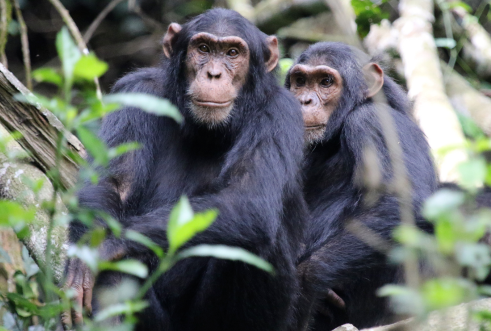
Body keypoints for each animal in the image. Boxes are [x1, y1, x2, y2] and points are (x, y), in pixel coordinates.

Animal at [64, 8, 308, 331]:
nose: (214, 74)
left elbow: (249, 197)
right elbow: (113, 182)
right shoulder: (136, 91)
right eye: (203, 48)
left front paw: (104, 249)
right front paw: (86, 259)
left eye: (233, 52)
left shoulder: (280, 112)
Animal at [286, 42, 440, 330]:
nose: (304, 100)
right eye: (300, 81)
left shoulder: (374, 122)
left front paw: (304, 282)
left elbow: (403, 203)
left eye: (325, 82)